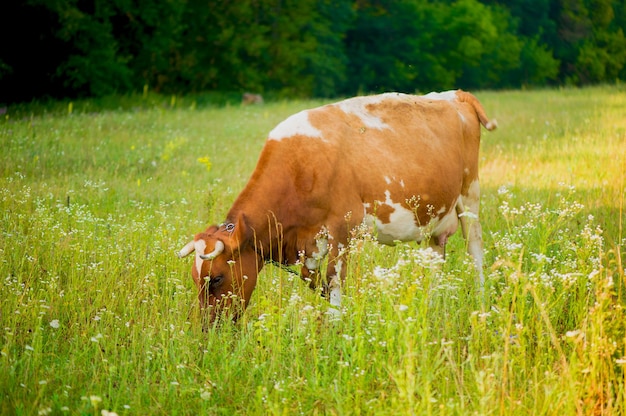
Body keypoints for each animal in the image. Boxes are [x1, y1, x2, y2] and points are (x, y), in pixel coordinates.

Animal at [178, 90, 494, 322]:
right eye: (195, 279)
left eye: (216, 278)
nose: (208, 328)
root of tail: (454, 94)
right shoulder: (308, 244)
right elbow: (314, 281)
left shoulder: (343, 227)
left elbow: (333, 280)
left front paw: (335, 325)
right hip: (434, 218)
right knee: (435, 257)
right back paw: (431, 306)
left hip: (470, 194)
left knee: (475, 248)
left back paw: (481, 303)